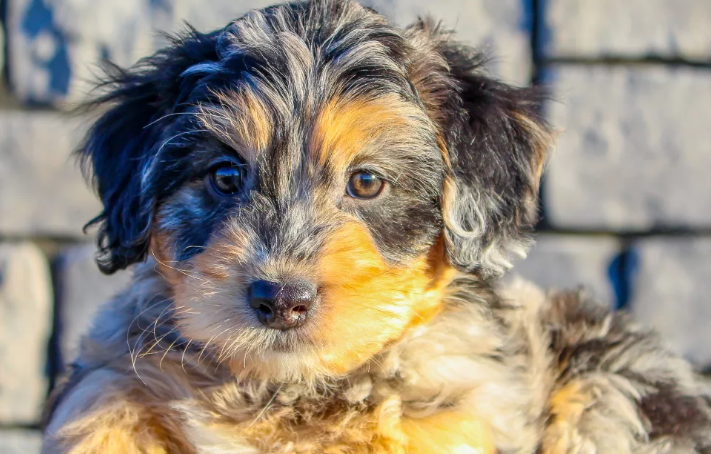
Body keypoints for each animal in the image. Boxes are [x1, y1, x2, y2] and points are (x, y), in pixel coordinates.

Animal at [43, 0, 711, 454]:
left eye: (366, 182)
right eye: (225, 175)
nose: (281, 299)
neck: (293, 391)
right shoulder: (114, 373)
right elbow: (103, 404)